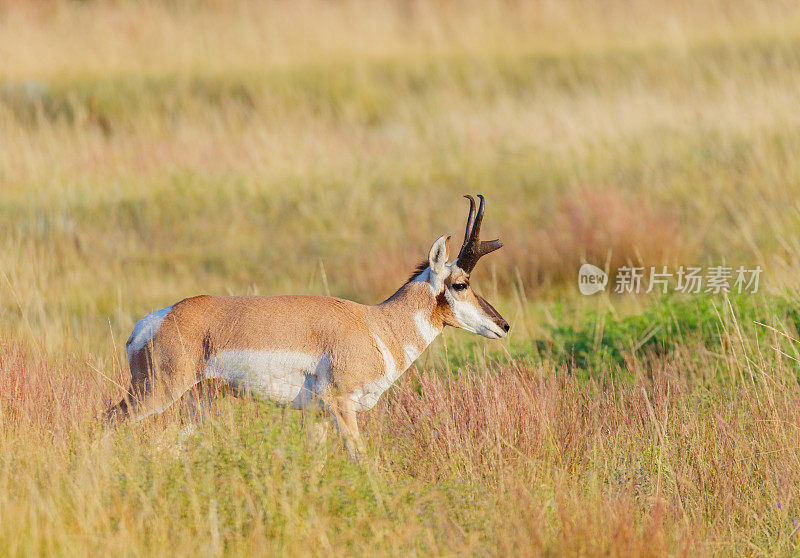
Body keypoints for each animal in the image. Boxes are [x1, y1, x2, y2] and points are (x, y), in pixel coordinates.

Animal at [104, 196, 506, 460]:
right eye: (461, 284)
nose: (504, 325)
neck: (377, 324)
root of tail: (152, 322)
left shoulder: (318, 417)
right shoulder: (339, 404)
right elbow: (361, 459)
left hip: (198, 404)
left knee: (164, 444)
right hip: (155, 393)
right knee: (109, 421)